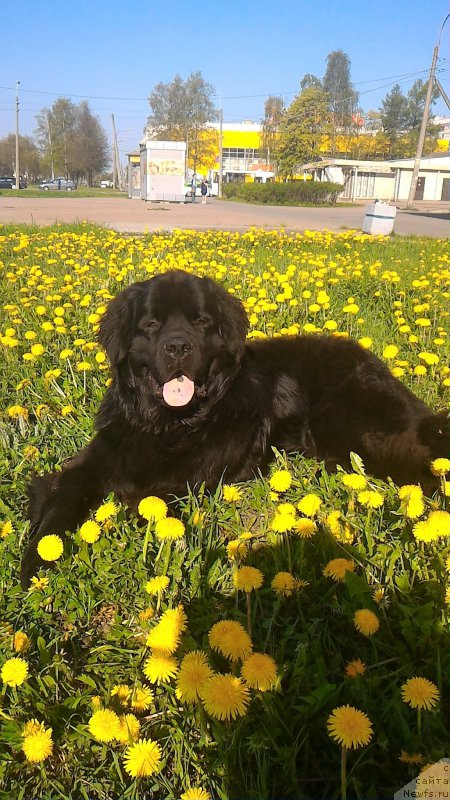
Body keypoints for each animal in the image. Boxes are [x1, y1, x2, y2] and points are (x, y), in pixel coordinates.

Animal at [21, 268, 450, 588]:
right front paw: (36, 560)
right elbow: (64, 494)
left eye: (200, 322)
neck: (168, 423)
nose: (177, 346)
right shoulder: (99, 455)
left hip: (353, 428)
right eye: (152, 324)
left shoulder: (187, 478)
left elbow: (139, 499)